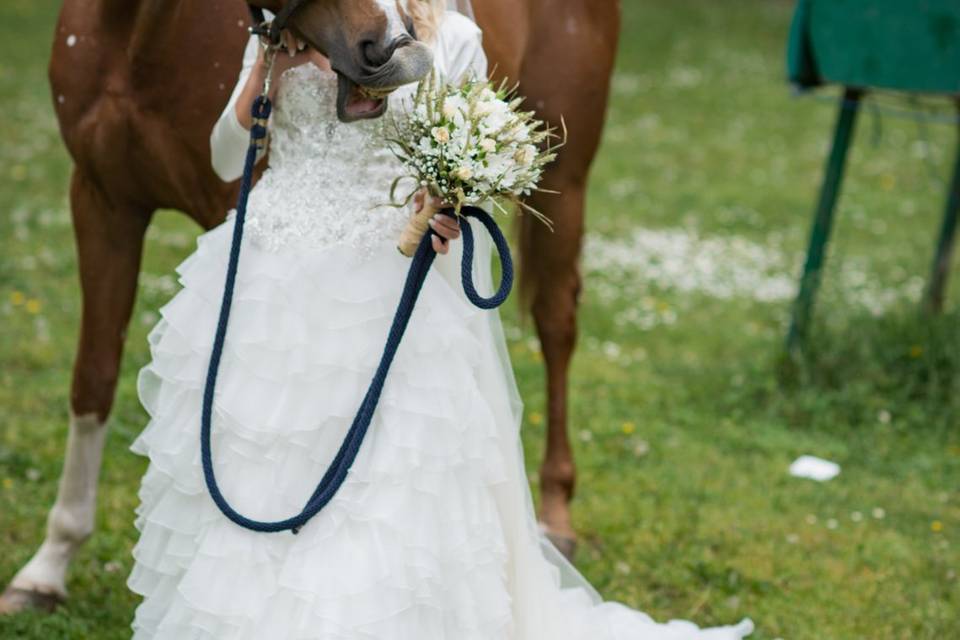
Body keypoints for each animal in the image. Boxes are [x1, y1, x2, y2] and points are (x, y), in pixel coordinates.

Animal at [0, 0, 620, 612]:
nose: (394, 47)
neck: (138, 35)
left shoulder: (229, 196)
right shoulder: (101, 197)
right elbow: (93, 381)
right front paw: (47, 568)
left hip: (566, 172)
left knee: (557, 325)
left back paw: (555, 520)